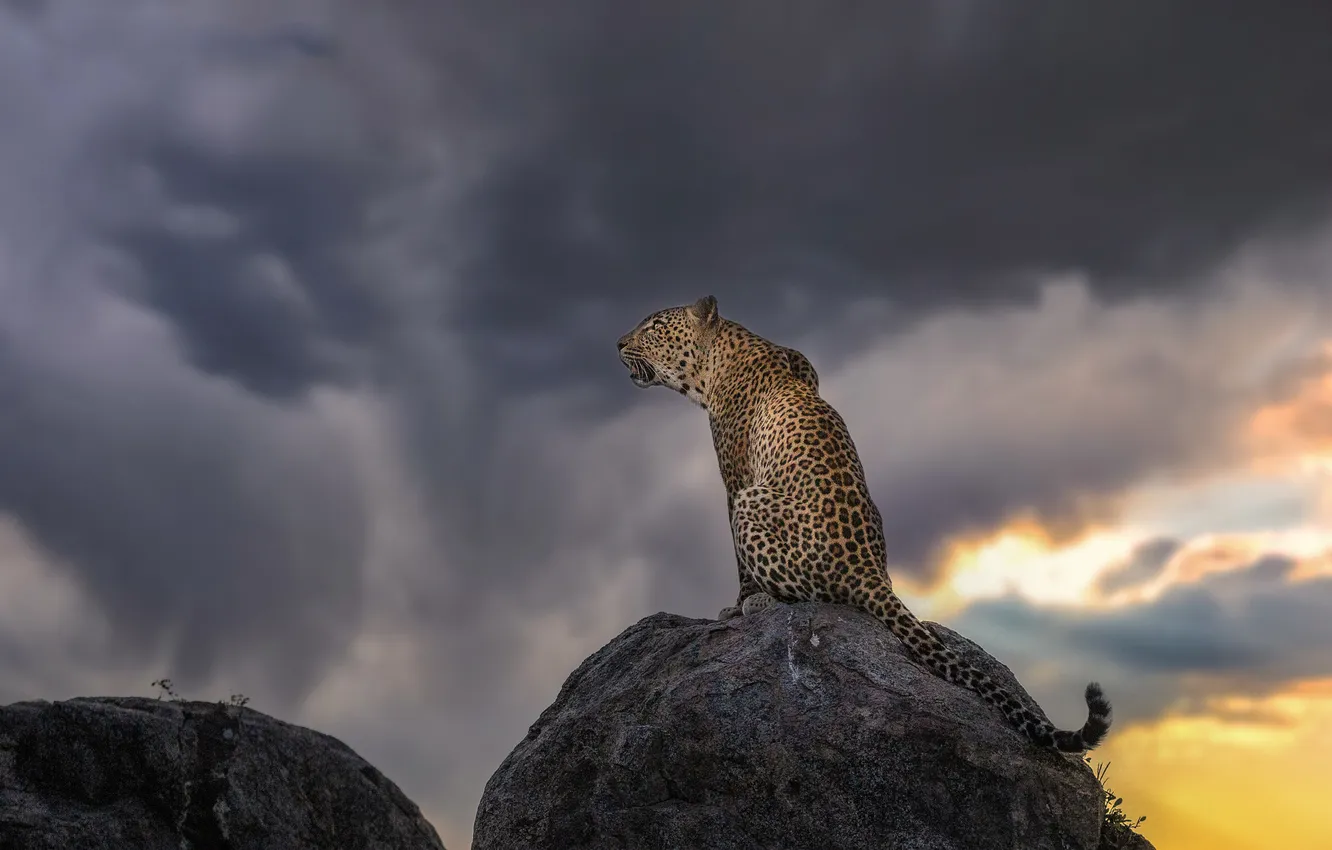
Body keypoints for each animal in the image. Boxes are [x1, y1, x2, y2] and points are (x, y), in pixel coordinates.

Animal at [616, 295, 1112, 752]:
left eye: (654, 326)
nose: (618, 343)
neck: (720, 356)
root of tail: (866, 570)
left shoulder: (735, 480)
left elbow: (739, 566)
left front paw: (737, 605)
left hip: (752, 503)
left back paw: (763, 603)